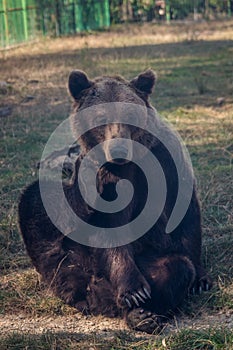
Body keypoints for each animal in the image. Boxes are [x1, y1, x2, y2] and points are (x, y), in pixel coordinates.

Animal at [17, 69, 211, 334]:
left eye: (129, 114)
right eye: (100, 116)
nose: (119, 149)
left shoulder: (166, 159)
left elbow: (184, 216)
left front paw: (200, 280)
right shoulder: (108, 179)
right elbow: (109, 228)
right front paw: (133, 292)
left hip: (148, 256)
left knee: (175, 267)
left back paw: (142, 313)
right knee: (38, 210)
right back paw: (94, 297)